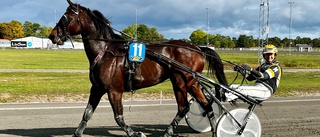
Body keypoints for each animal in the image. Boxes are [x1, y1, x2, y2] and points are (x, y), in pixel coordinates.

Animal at [48, 0, 228, 136]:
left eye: (65, 17)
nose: (52, 35)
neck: (105, 50)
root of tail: (197, 48)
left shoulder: (114, 90)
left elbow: (118, 117)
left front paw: (135, 132)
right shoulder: (97, 88)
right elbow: (87, 113)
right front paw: (77, 133)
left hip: (181, 82)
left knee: (184, 107)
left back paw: (168, 131)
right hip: (192, 82)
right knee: (206, 105)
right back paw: (213, 129)